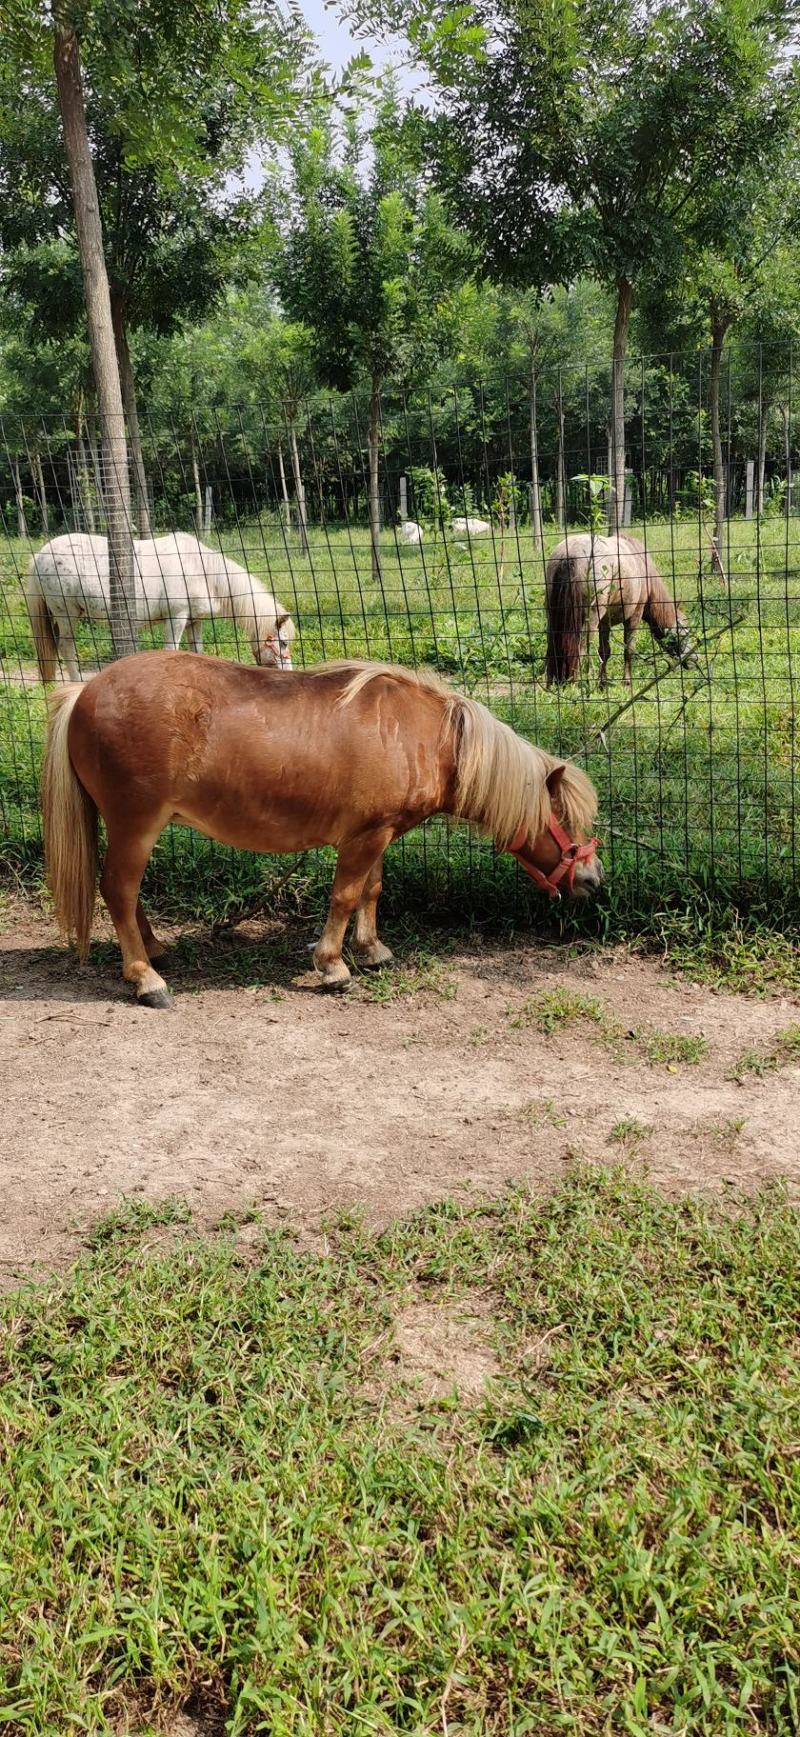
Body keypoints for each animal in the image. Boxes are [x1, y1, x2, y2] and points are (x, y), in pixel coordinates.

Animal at [25, 532, 296, 682]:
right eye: (282, 643)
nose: (289, 673)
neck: (200, 569)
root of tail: (40, 555)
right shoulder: (176, 618)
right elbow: (171, 650)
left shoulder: (194, 622)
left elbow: (196, 651)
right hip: (66, 613)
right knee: (66, 646)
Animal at [41, 652, 602, 1007]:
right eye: (564, 820)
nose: (593, 879)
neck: (423, 738)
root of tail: (86, 689)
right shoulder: (364, 837)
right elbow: (345, 895)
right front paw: (333, 965)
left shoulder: (379, 834)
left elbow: (372, 890)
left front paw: (372, 951)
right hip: (135, 823)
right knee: (118, 889)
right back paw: (146, 979)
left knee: (128, 893)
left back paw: (154, 949)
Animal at [545, 532, 696, 688]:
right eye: (686, 631)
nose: (694, 659)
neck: (643, 565)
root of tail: (570, 555)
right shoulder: (634, 616)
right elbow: (629, 650)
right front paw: (627, 683)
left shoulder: (604, 623)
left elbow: (604, 651)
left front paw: (602, 683)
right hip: (589, 621)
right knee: (581, 650)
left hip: (552, 616)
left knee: (551, 647)